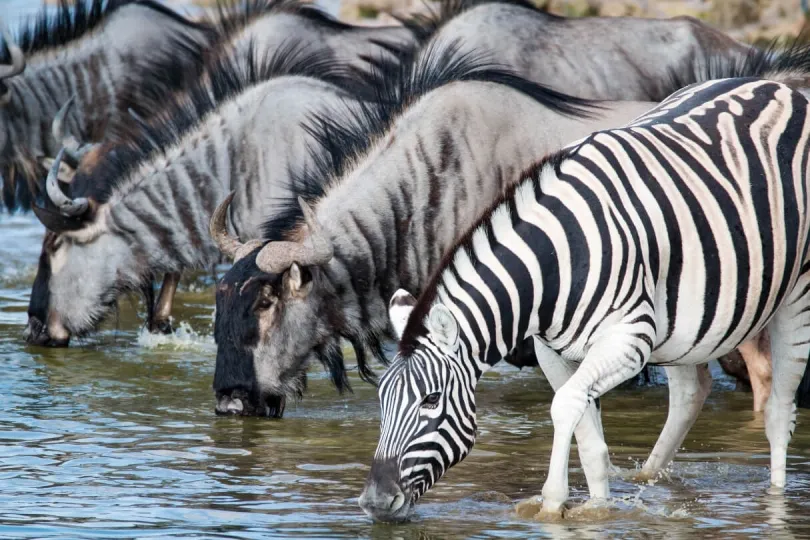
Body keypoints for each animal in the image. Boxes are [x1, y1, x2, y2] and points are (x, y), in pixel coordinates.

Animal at [358, 77, 808, 524]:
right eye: (380, 398)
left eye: (431, 400)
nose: (375, 501)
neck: (556, 263)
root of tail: (775, 85)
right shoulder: (554, 352)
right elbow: (585, 431)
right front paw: (598, 510)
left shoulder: (628, 341)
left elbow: (564, 407)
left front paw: (552, 502)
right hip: (683, 322)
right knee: (690, 392)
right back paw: (650, 479)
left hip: (795, 293)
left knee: (778, 409)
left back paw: (776, 500)